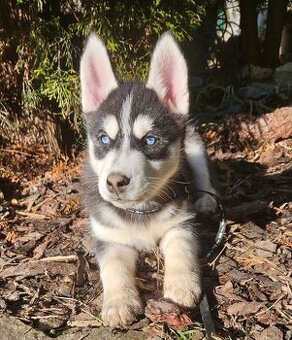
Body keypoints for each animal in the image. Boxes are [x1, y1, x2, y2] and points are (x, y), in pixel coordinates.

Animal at [81, 33, 216, 328]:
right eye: (103, 139)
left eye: (151, 140)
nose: (115, 182)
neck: (139, 211)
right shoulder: (108, 238)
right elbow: (113, 268)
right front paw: (119, 302)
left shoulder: (181, 223)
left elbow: (181, 249)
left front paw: (182, 283)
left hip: (195, 146)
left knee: (205, 179)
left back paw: (206, 201)